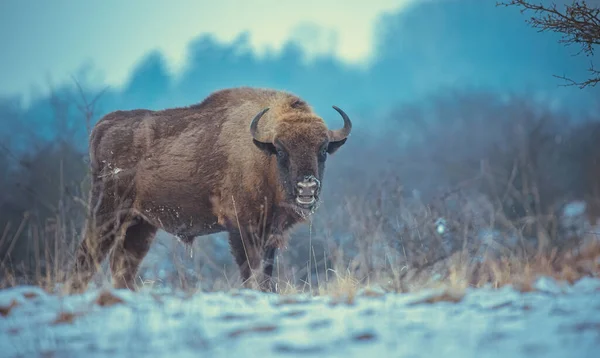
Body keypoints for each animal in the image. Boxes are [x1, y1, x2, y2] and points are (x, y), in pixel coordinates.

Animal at [67, 87, 352, 294]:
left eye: (323, 150)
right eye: (281, 150)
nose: (307, 187)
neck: (262, 153)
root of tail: (103, 125)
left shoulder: (270, 232)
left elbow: (266, 270)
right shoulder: (243, 228)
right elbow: (251, 268)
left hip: (140, 223)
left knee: (122, 264)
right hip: (106, 213)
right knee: (87, 256)